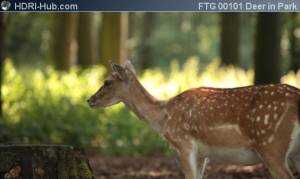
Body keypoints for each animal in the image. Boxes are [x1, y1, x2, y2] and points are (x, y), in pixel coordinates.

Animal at [87, 60, 300, 178]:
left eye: (107, 81)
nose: (89, 100)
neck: (164, 118)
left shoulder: (184, 144)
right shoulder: (202, 154)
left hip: (271, 145)